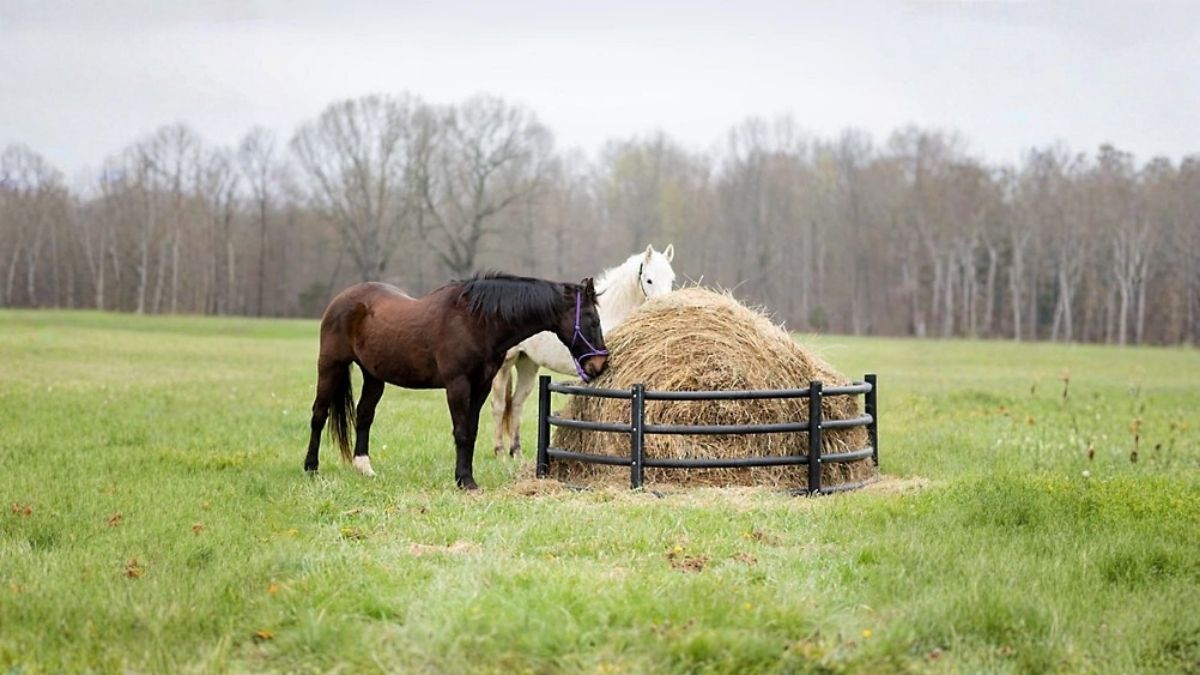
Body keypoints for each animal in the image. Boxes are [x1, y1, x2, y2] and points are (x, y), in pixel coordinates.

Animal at [303, 272, 609, 490]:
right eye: (592, 319)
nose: (600, 365)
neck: (475, 321)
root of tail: (342, 299)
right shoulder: (458, 385)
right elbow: (462, 433)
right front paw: (466, 482)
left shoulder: (481, 387)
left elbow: (471, 432)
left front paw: (465, 478)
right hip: (330, 366)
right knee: (319, 414)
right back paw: (311, 468)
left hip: (374, 376)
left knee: (364, 415)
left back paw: (364, 468)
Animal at [490, 244, 676, 456]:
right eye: (649, 279)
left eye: (671, 279)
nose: (664, 306)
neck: (610, 314)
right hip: (505, 364)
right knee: (499, 405)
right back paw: (500, 452)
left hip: (527, 363)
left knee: (517, 403)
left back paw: (517, 453)